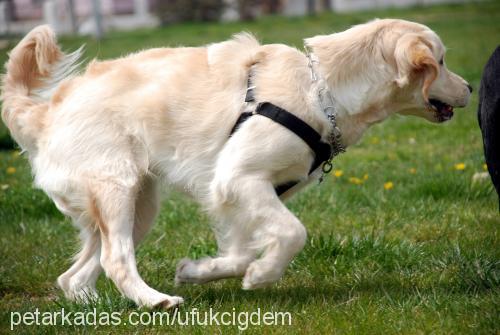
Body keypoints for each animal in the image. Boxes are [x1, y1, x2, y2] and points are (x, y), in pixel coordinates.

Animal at [0, 17, 468, 308]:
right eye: (442, 61)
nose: (468, 87)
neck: (323, 90)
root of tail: (45, 112)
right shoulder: (239, 178)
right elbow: (293, 233)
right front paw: (263, 275)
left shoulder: (242, 193)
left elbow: (242, 251)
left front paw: (200, 270)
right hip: (118, 190)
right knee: (115, 260)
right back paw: (155, 301)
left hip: (139, 206)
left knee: (77, 275)